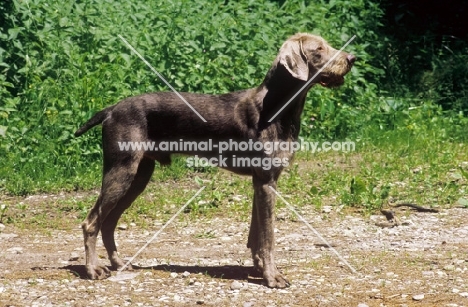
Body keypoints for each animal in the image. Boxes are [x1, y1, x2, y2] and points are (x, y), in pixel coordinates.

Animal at [76, 33, 354, 288]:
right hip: (121, 171)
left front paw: (259, 267)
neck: (276, 108)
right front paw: (272, 277)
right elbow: (269, 236)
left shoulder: (260, 181)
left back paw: (119, 263)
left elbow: (256, 234)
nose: (352, 58)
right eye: (319, 49)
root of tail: (111, 109)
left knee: (108, 222)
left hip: (139, 175)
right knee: (91, 222)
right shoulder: (266, 181)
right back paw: (93, 269)